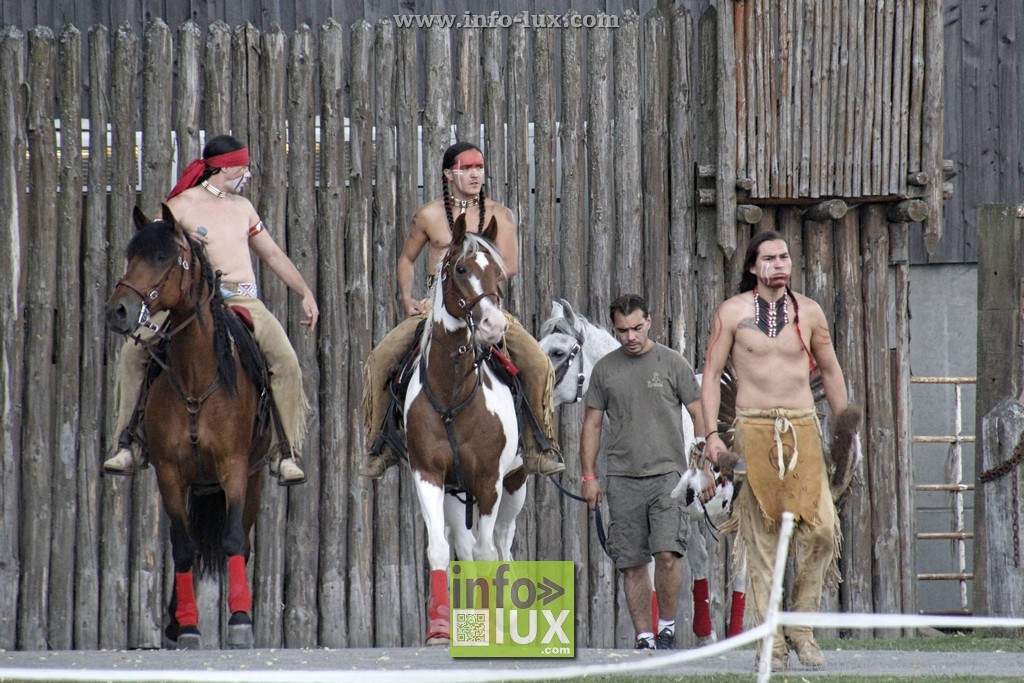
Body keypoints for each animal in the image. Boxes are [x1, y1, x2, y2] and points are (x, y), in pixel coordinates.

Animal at [105, 204, 270, 651]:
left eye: (163, 257)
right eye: (130, 255)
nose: (118, 311)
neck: (197, 376)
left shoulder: (234, 467)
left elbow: (233, 539)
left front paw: (241, 621)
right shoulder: (169, 472)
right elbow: (182, 547)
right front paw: (189, 626)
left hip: (253, 478)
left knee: (243, 541)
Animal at [403, 215, 524, 647]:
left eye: (498, 273)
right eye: (461, 269)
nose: (492, 325)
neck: (453, 390)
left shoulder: (490, 481)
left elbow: (489, 554)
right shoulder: (428, 475)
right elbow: (441, 549)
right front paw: (440, 627)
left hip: (515, 485)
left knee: (502, 546)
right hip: (458, 493)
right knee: (465, 546)